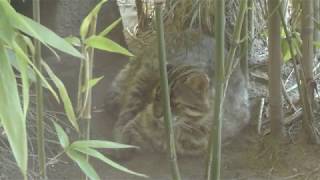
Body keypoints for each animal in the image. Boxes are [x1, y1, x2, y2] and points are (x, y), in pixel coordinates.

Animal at [106, 32, 249, 158]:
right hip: (140, 82)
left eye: (174, 103)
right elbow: (127, 129)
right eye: (156, 96)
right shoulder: (139, 121)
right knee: (125, 113)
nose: (156, 115)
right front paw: (117, 145)